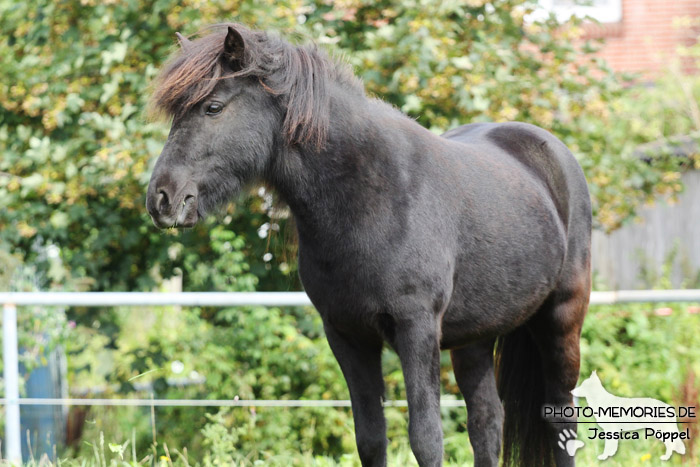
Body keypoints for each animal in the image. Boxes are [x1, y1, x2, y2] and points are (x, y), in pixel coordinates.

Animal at [146, 25, 592, 467]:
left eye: (213, 107)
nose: (162, 198)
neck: (372, 198)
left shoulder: (417, 328)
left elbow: (425, 438)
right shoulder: (347, 335)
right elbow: (371, 438)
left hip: (561, 321)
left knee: (560, 418)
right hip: (474, 340)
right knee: (486, 422)